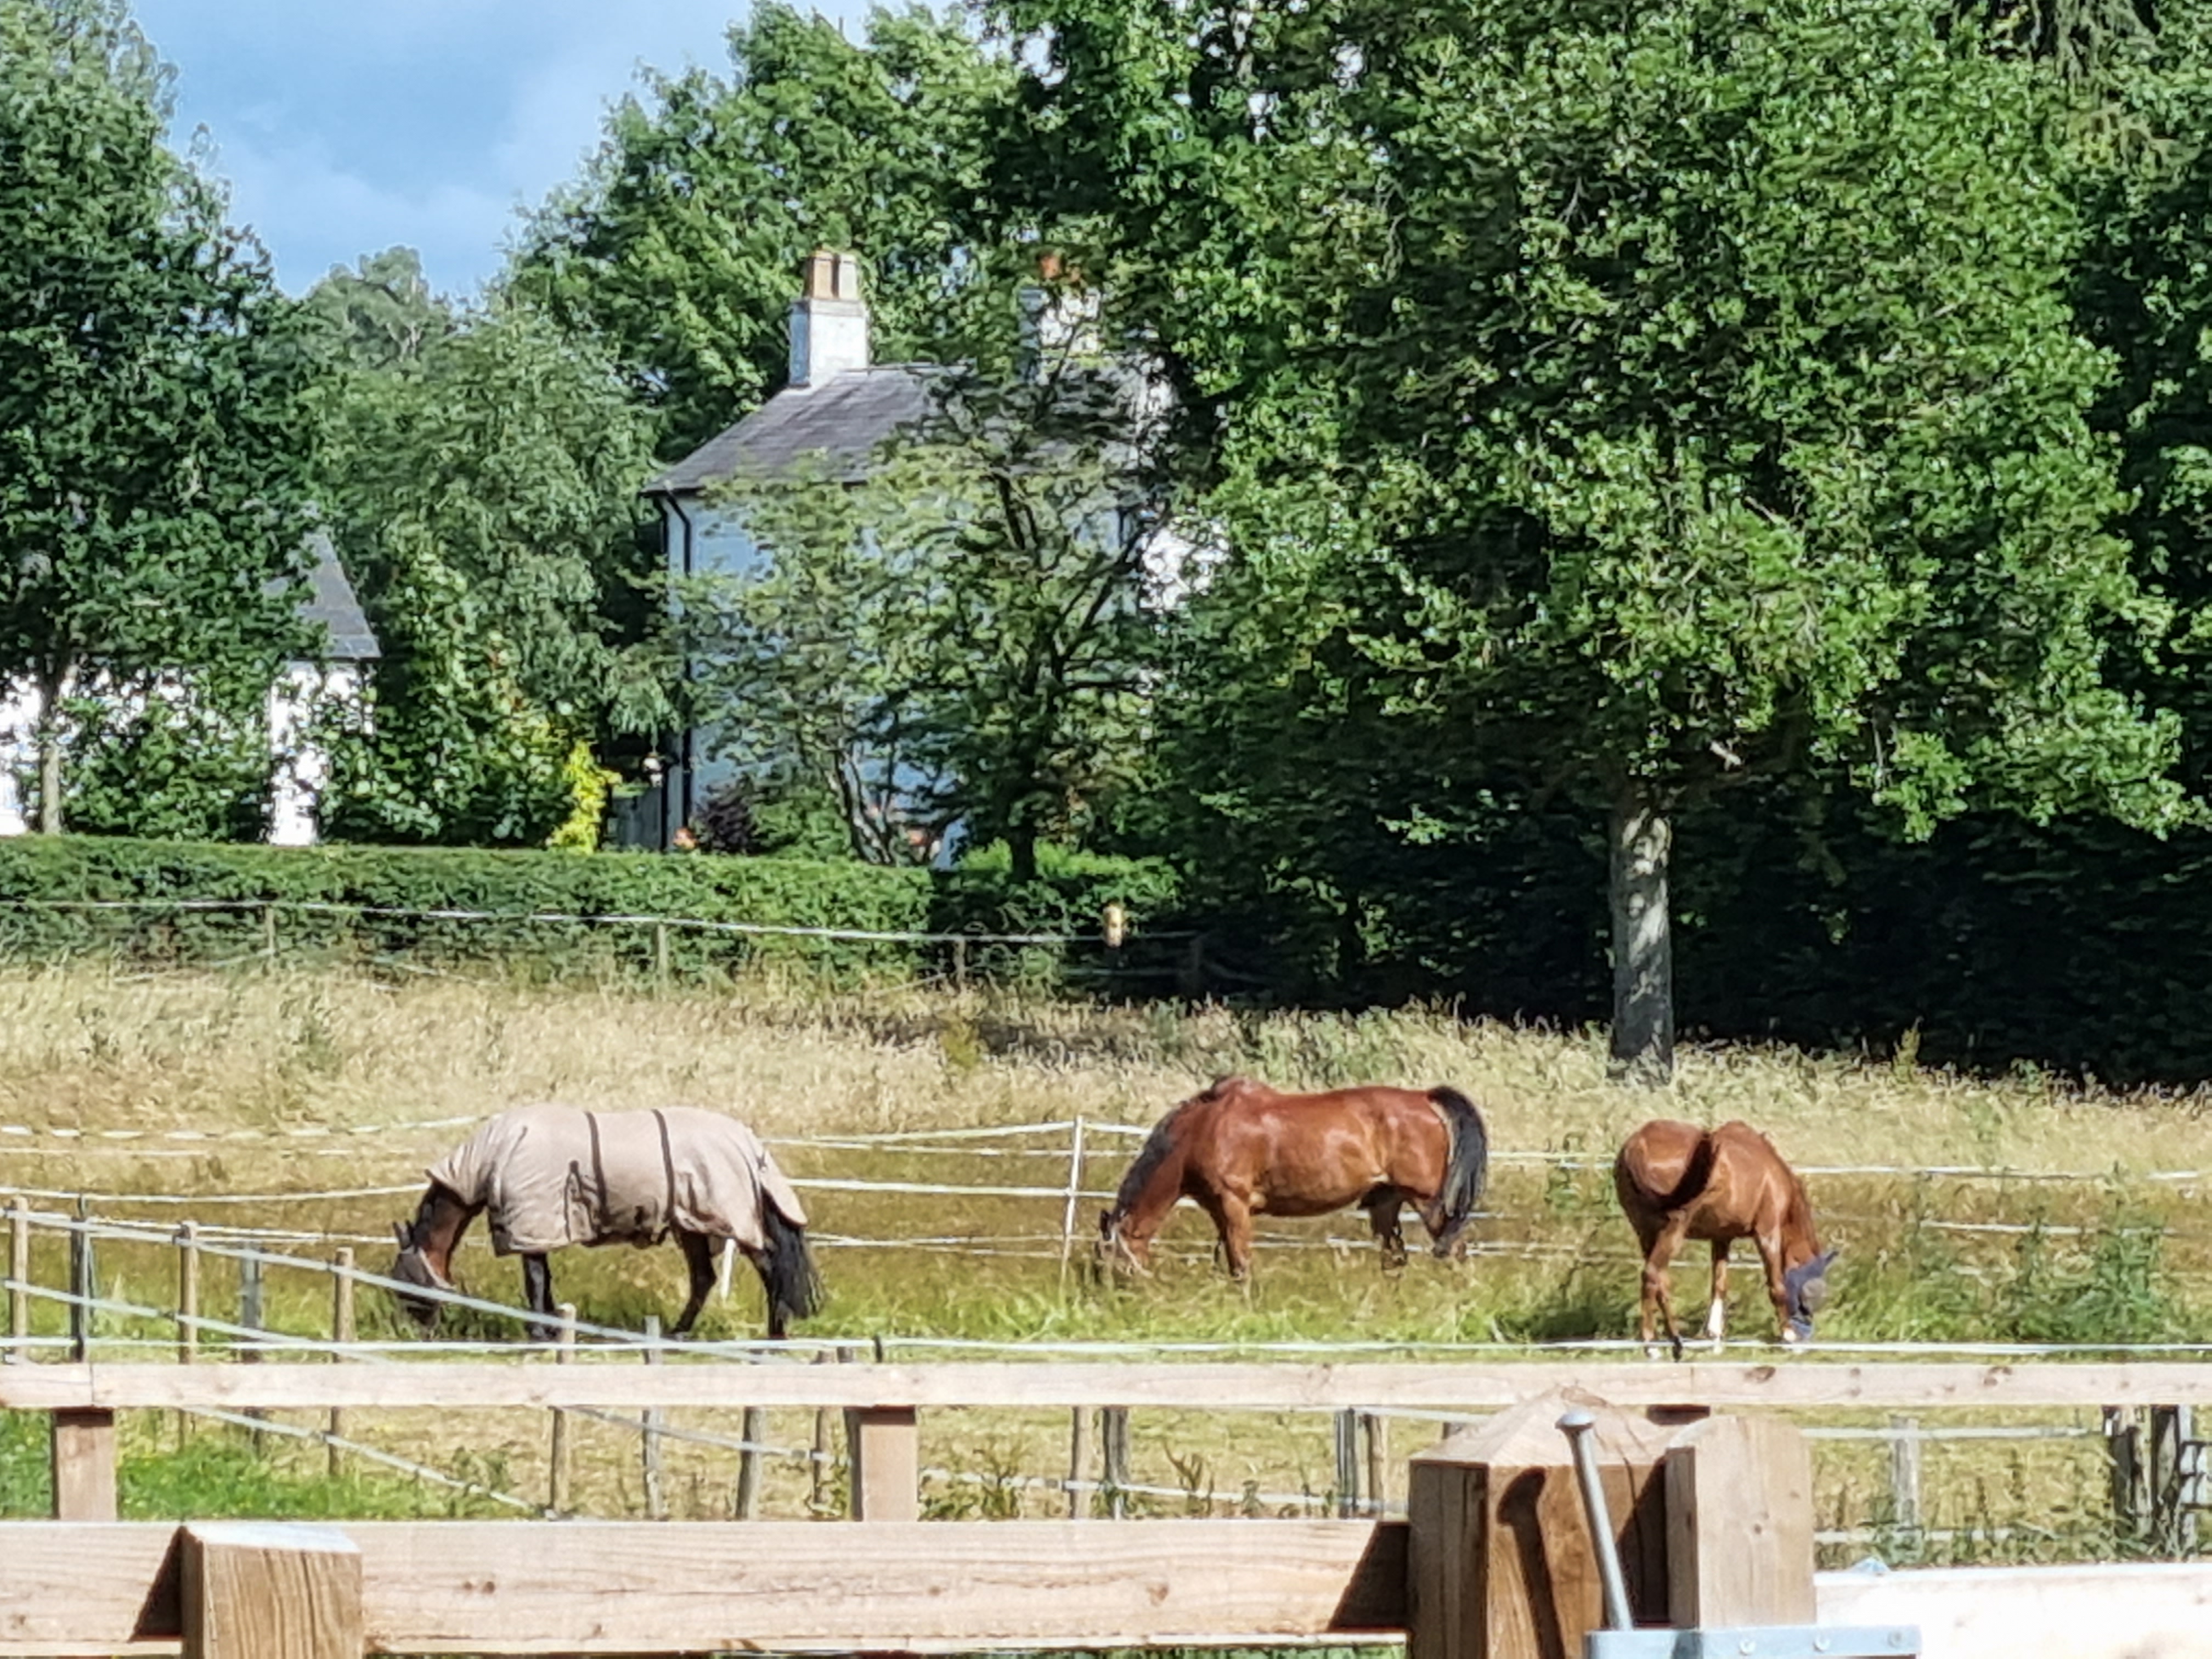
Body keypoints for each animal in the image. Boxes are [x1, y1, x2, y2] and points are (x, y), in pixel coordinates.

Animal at [387, 1110, 822, 1345]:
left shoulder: (532, 1226)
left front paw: (538, 1333)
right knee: (704, 1278)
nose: (414, 1333)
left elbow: (535, 1283)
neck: (496, 1157)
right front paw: (552, 1328)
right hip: (692, 1225)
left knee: (769, 1268)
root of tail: (750, 1145)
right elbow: (545, 1282)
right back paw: (677, 1333)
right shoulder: (541, 1230)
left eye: (403, 1283)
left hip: (729, 1220)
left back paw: (775, 1334)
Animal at [1101, 1079, 1495, 1283]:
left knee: (1455, 1250)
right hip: (1387, 1202)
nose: (1110, 1297)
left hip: (1427, 1201)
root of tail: (1423, 1097)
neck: (1202, 1129)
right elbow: (1229, 1259)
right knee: (1395, 1258)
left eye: (1105, 1256)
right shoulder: (1220, 1209)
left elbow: (1241, 1263)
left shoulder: (1234, 1203)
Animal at [1610, 1119, 1831, 1362]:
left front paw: (1714, 1338)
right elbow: (1777, 1286)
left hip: (1646, 1233)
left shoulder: (1721, 1238)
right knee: (1652, 1274)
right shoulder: (1768, 1232)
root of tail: (1638, 1143)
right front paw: (1789, 1338)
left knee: (1661, 1281)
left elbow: (1719, 1285)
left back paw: (1677, 1343)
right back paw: (1652, 1347)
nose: (1807, 1333)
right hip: (1673, 1228)